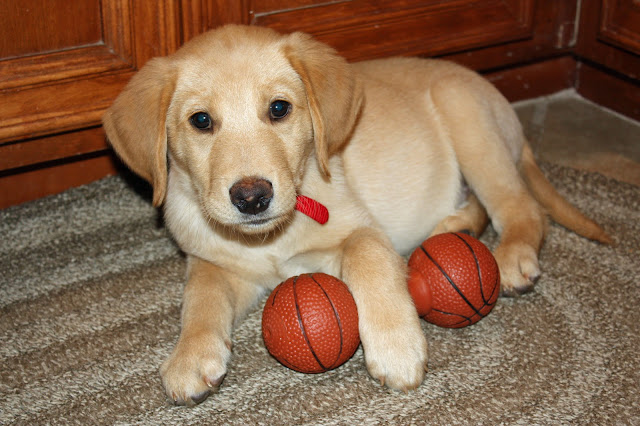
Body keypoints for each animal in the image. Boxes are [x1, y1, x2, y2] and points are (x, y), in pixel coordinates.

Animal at [103, 25, 611, 406]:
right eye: (201, 121)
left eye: (279, 109)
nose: (252, 198)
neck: (271, 242)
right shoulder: (215, 263)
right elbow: (200, 299)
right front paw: (189, 357)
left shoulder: (362, 230)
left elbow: (370, 264)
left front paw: (396, 347)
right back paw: (455, 224)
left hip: (469, 124)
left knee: (522, 207)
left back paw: (513, 257)